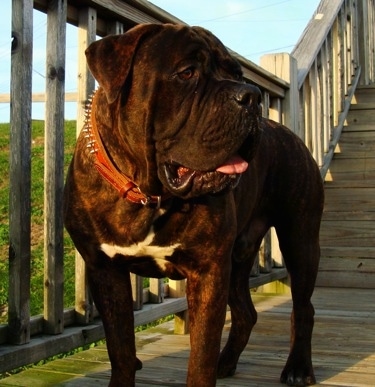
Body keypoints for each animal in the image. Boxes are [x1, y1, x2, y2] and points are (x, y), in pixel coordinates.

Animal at [63, 22, 324, 386]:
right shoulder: (106, 271)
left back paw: (298, 368)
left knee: (303, 308)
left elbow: (200, 355)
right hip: (238, 259)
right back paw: (226, 362)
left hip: (300, 241)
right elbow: (121, 350)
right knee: (245, 312)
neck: (150, 195)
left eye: (236, 73)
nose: (251, 96)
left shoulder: (208, 271)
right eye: (186, 73)